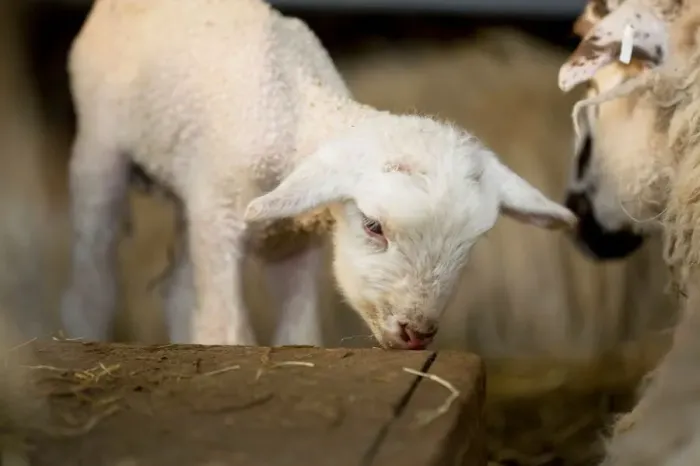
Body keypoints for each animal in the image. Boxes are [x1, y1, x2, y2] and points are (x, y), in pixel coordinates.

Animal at [61, 0, 575, 350]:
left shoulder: (295, 243)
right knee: (94, 275)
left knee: (175, 287)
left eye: (473, 243)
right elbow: (227, 330)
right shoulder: (222, 225)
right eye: (373, 226)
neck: (293, 106)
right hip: (101, 149)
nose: (416, 333)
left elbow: (299, 334)